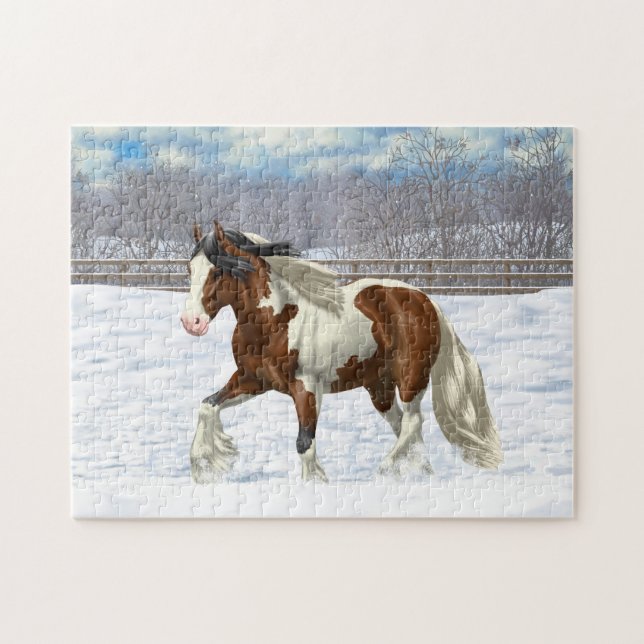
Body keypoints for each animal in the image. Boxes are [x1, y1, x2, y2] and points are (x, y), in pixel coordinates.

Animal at [180, 221, 503, 483]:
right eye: (190, 269)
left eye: (218, 271)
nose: (191, 322)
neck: (277, 320)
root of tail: (425, 300)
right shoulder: (252, 380)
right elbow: (207, 406)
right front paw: (202, 467)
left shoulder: (307, 388)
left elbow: (304, 443)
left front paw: (314, 483)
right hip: (379, 387)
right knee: (404, 426)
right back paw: (421, 471)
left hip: (411, 378)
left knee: (413, 422)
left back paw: (385, 470)